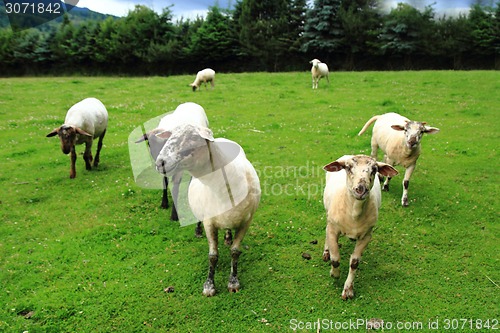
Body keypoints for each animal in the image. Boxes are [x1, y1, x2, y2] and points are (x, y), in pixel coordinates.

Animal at [135, 102, 209, 235]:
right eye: (149, 144)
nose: (159, 163)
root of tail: (190, 102)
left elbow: (175, 188)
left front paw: (174, 216)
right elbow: (164, 182)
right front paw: (164, 203)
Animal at [154, 123, 260, 294]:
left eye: (193, 137)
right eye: (170, 135)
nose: (160, 163)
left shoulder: (247, 221)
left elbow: (235, 252)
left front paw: (233, 282)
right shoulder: (209, 222)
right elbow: (213, 255)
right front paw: (209, 285)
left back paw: (228, 237)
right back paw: (198, 231)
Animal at [322, 155, 400, 298]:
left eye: (374, 169)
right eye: (348, 167)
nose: (361, 189)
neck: (354, 213)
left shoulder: (366, 236)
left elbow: (354, 263)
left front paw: (348, 290)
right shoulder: (333, 229)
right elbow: (335, 259)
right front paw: (334, 274)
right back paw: (326, 252)